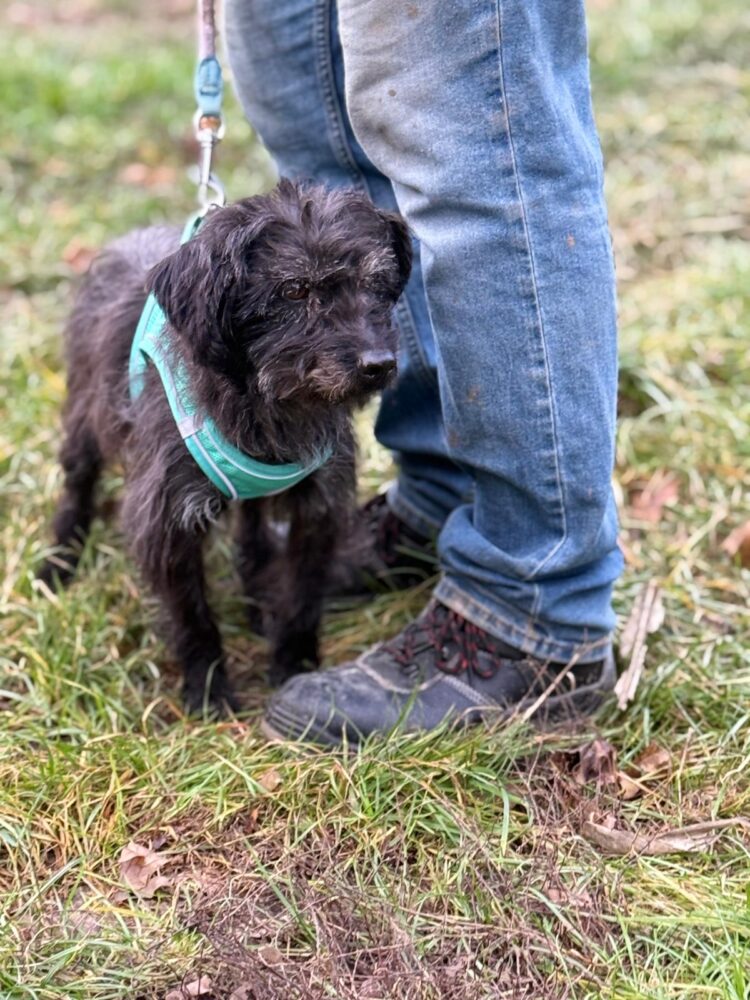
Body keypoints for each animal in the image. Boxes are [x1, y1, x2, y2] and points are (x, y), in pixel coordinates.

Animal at [39, 179, 412, 712]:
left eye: (376, 283)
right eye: (295, 289)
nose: (378, 364)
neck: (268, 400)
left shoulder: (319, 504)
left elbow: (303, 591)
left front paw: (294, 661)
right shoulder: (167, 519)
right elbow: (192, 614)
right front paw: (208, 687)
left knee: (253, 526)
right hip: (85, 416)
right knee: (78, 482)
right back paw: (60, 560)